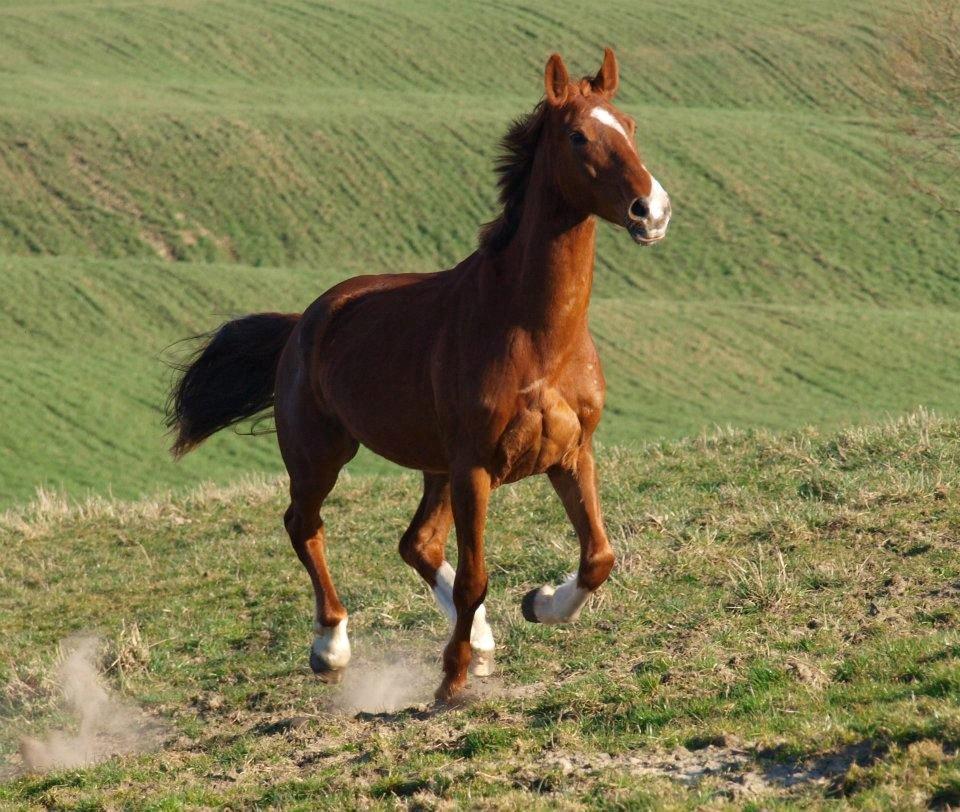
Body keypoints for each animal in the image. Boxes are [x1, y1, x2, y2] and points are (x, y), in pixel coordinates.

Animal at [165, 47, 672, 700]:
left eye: (630, 126)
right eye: (578, 136)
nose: (651, 211)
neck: (533, 334)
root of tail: (305, 321)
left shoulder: (570, 454)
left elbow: (598, 558)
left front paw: (537, 604)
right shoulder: (475, 469)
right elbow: (477, 577)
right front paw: (450, 680)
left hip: (434, 467)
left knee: (417, 543)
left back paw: (480, 641)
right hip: (321, 455)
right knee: (304, 525)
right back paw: (333, 646)